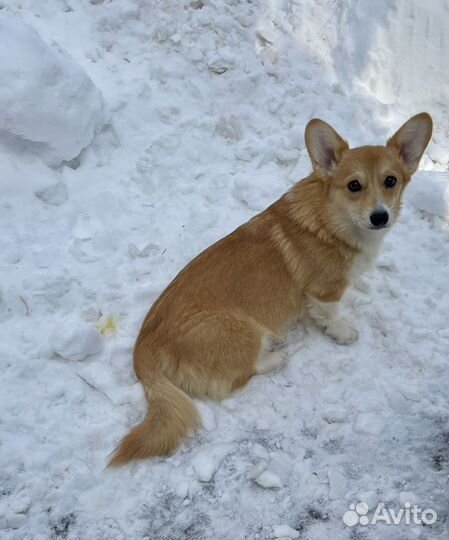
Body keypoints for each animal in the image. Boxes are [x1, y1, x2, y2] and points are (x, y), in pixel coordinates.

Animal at [107, 113, 430, 464]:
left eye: (391, 181)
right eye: (354, 185)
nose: (380, 216)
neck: (332, 219)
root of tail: (144, 352)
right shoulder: (326, 290)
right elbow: (331, 316)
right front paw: (344, 333)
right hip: (244, 328)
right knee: (238, 376)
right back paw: (277, 356)